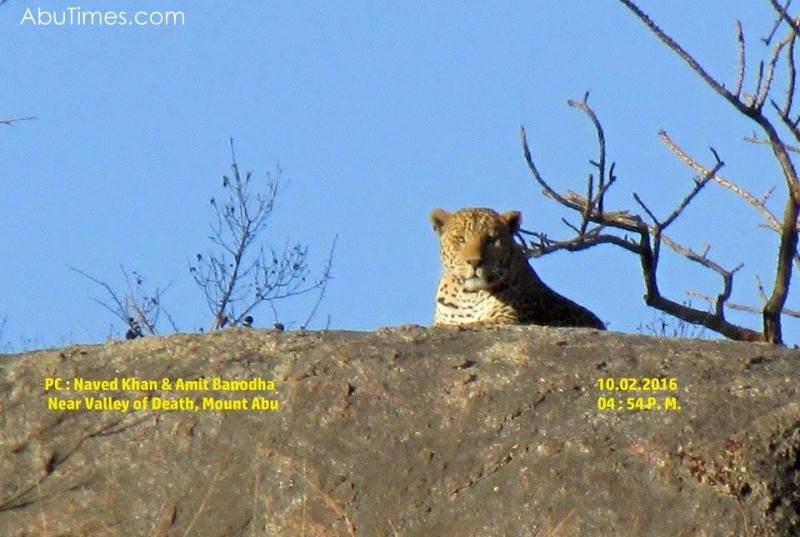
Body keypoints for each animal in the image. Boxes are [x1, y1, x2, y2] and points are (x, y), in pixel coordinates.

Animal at [430, 207, 606, 329]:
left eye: (491, 240)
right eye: (460, 239)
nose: (474, 262)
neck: (468, 295)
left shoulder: (508, 319)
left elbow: (474, 324)